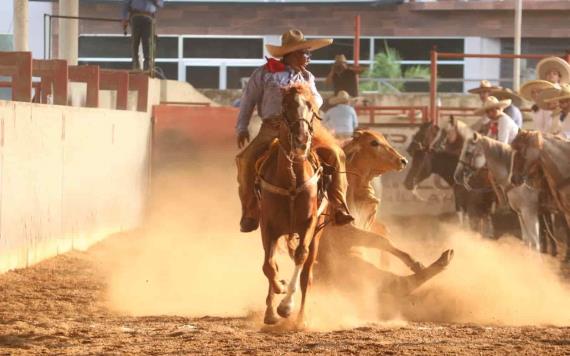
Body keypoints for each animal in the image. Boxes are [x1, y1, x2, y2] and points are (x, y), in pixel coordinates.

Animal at [255, 83, 326, 326]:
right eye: (285, 105)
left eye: (311, 106)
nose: (302, 139)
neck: (292, 180)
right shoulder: (268, 227)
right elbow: (269, 266)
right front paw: (278, 291)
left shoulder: (309, 224)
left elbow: (300, 257)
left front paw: (286, 306)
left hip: (317, 235)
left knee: (307, 274)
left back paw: (301, 318)